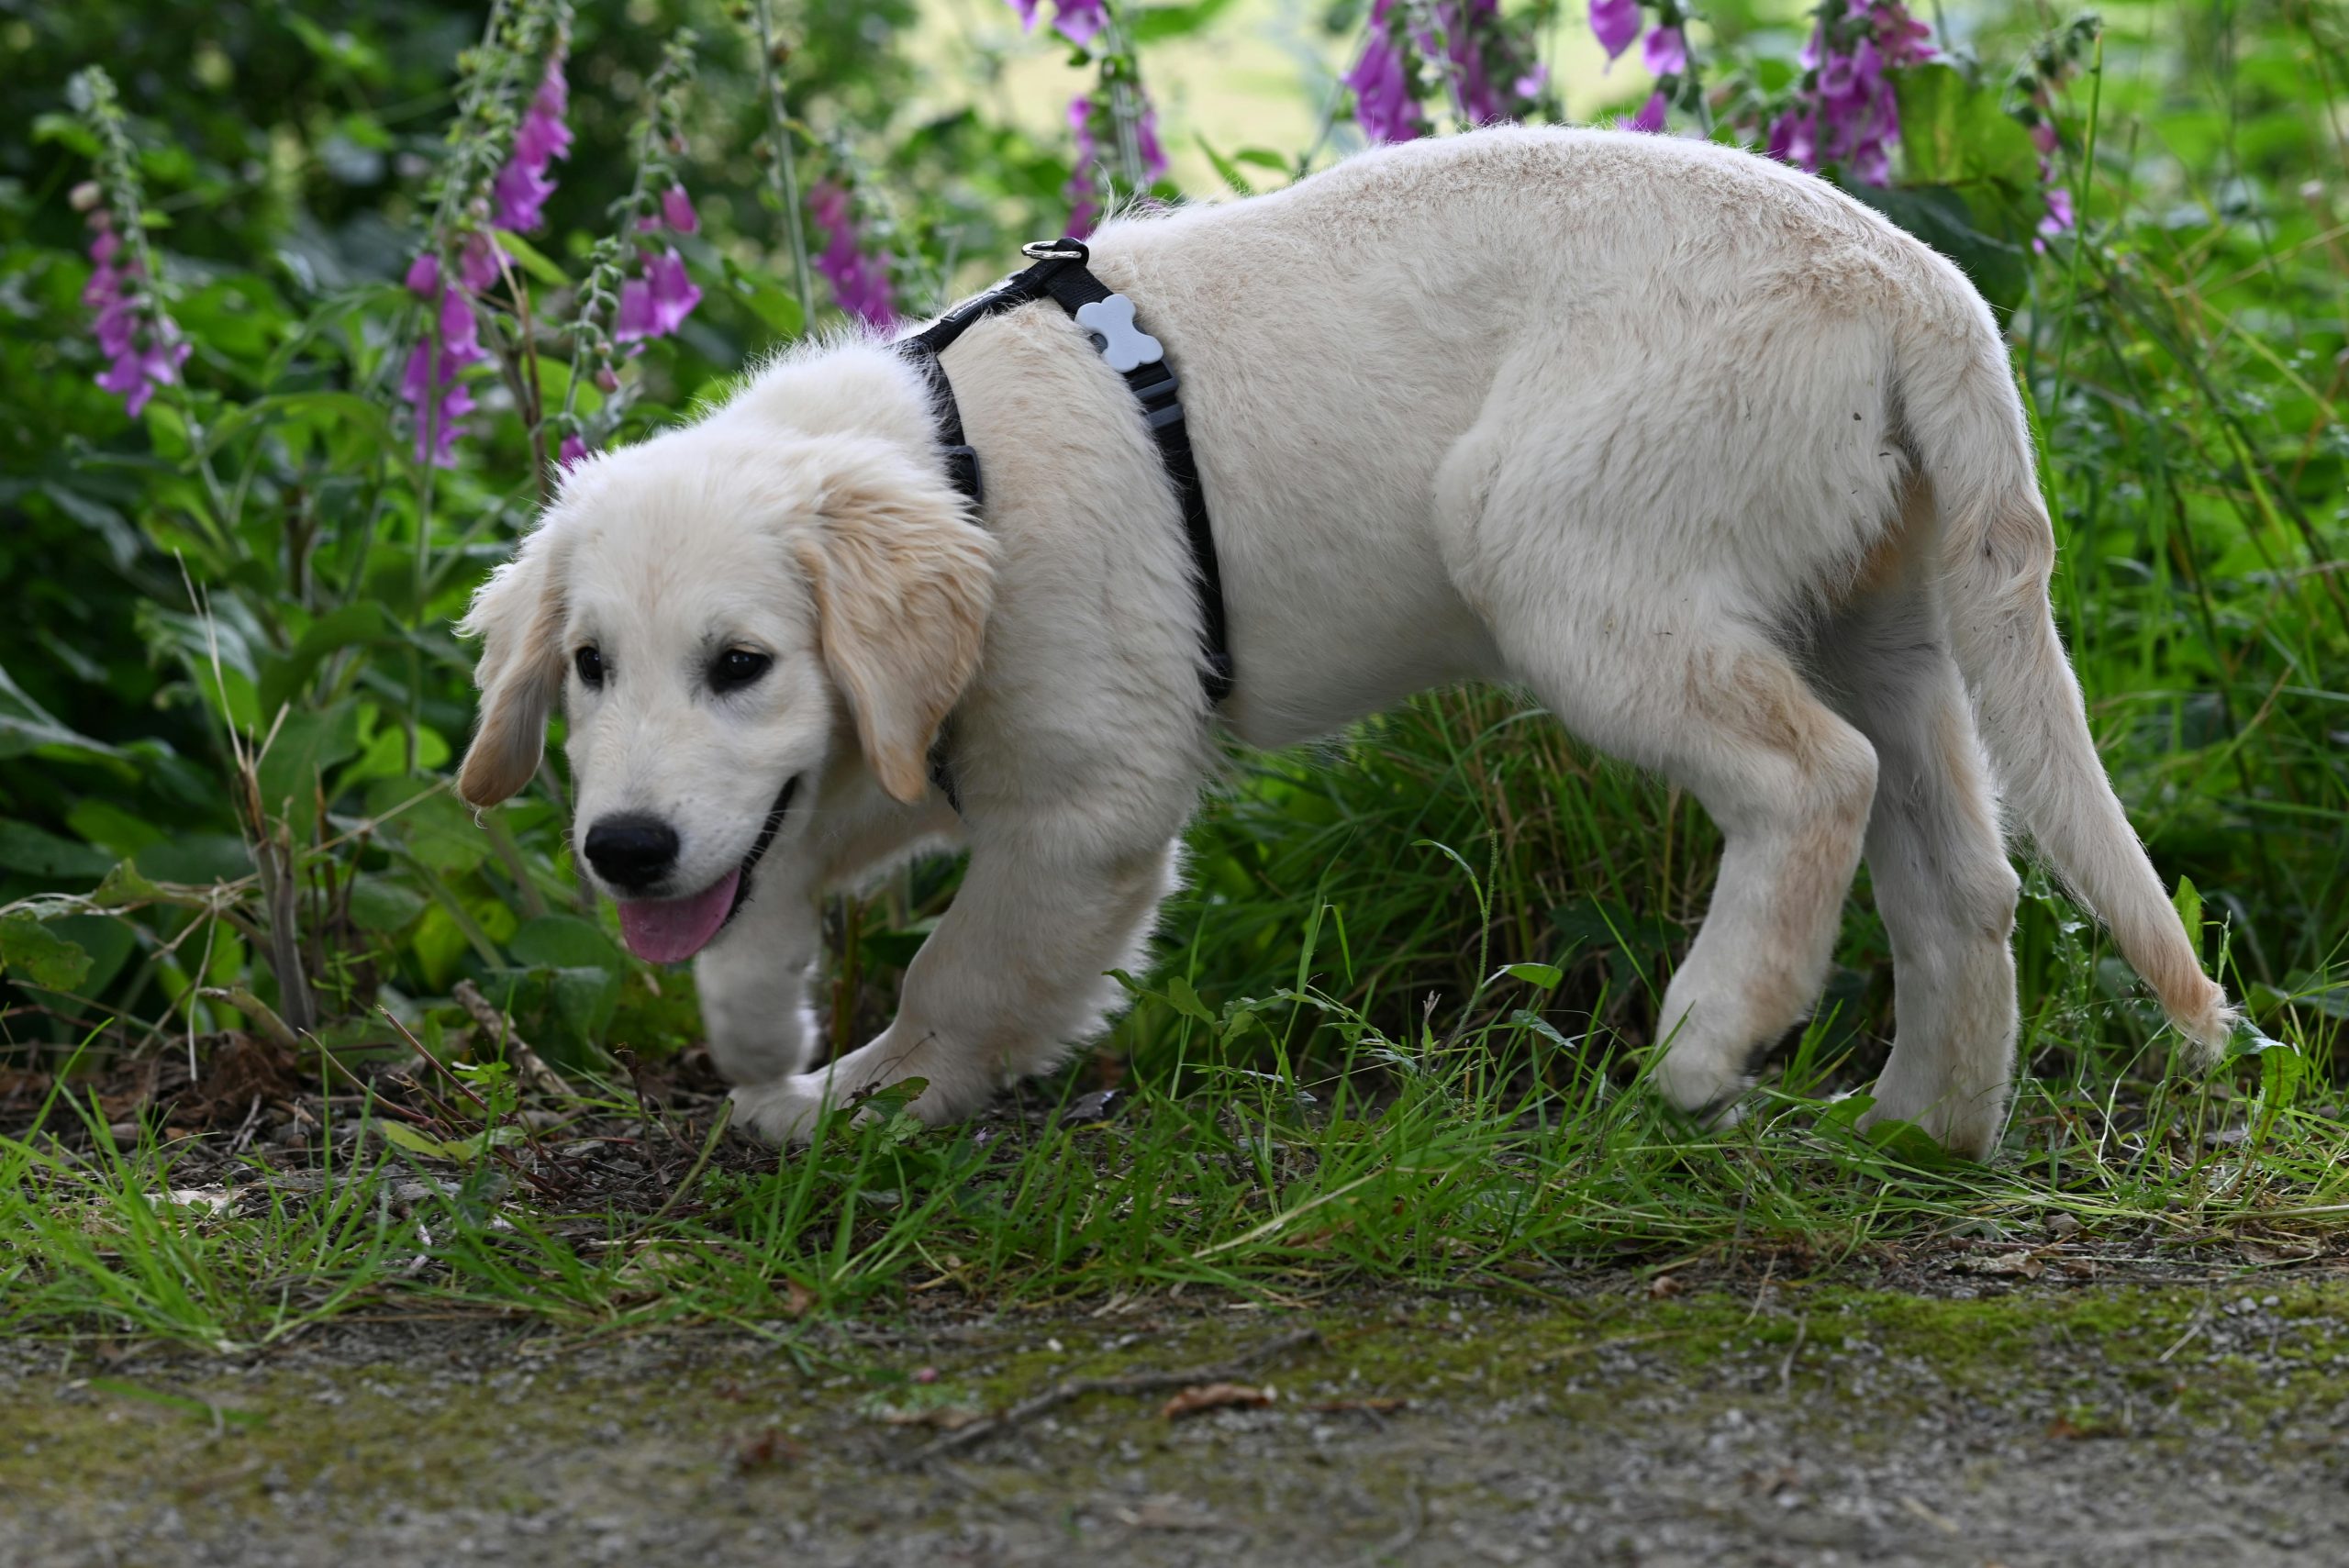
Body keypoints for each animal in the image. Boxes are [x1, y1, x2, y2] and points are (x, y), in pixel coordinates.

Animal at [458, 128, 2236, 1159]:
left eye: (743, 663)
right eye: (589, 668)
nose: (620, 848)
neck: (960, 468)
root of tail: (1917, 281)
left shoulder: (1091, 801)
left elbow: (972, 976)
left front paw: (870, 1101)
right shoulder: (868, 771)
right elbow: (759, 895)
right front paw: (767, 1049)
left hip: (1556, 546)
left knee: (1819, 776)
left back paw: (1713, 1033)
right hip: (1883, 608)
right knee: (1967, 874)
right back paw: (1923, 1129)